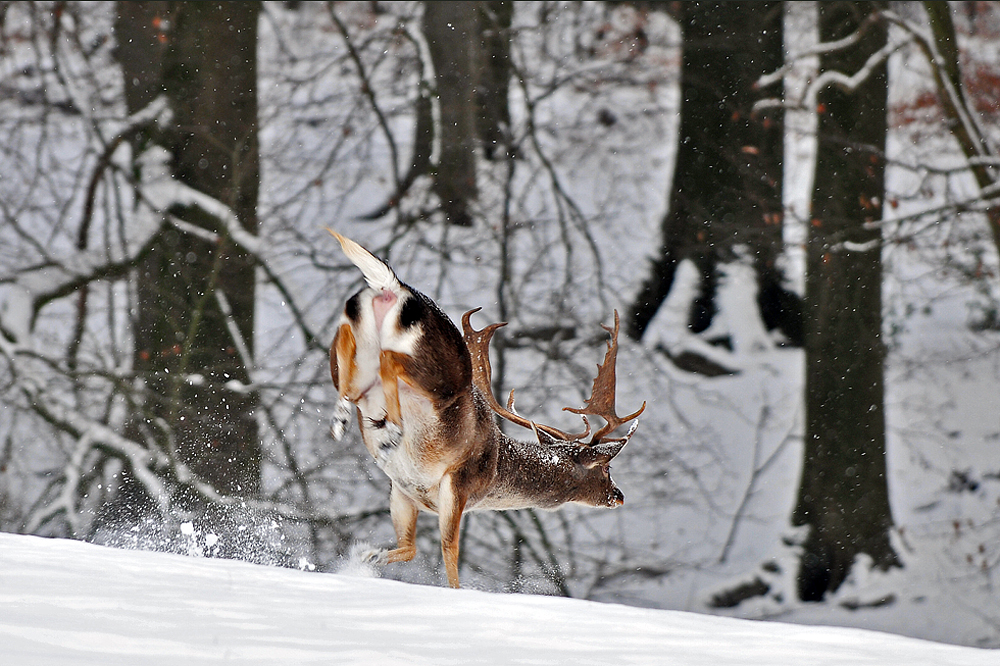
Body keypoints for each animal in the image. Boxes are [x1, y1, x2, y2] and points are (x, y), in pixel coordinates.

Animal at [324, 232, 644, 588]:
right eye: (606, 469)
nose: (619, 495)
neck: (495, 474)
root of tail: (394, 286)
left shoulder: (403, 490)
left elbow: (409, 548)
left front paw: (368, 557)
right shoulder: (458, 483)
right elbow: (449, 552)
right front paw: (453, 591)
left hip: (356, 333)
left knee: (347, 351)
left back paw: (346, 419)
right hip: (436, 373)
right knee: (390, 361)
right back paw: (388, 428)